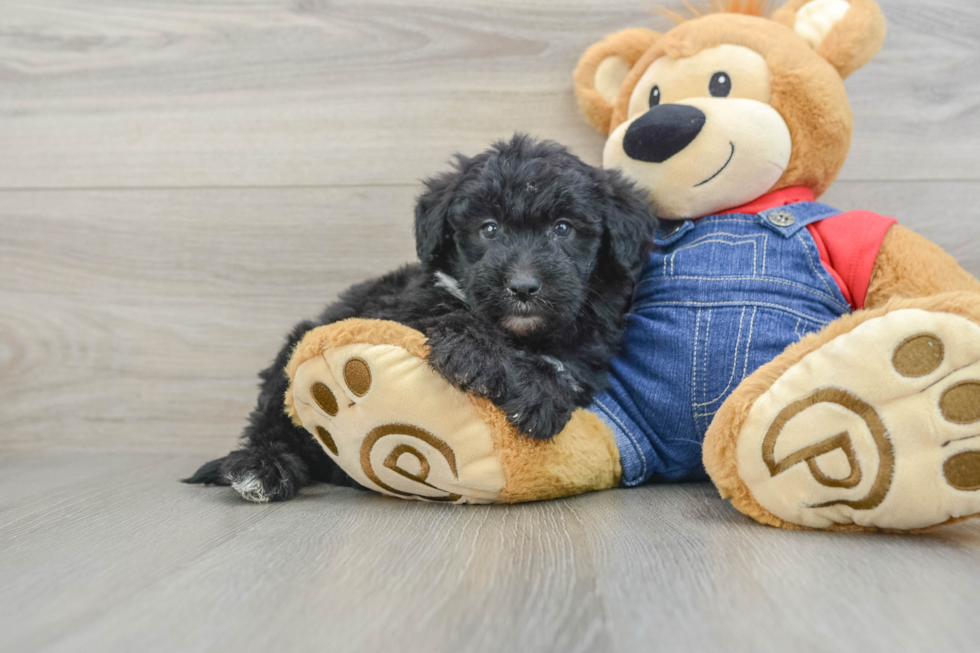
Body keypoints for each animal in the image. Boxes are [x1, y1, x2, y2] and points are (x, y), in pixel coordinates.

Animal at [187, 135, 656, 502]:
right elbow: (447, 312)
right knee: (272, 423)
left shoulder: (589, 352)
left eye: (563, 228)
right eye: (488, 228)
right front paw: (479, 355)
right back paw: (263, 468)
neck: (521, 335)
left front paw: (539, 394)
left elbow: (564, 368)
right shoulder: (403, 305)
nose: (523, 287)